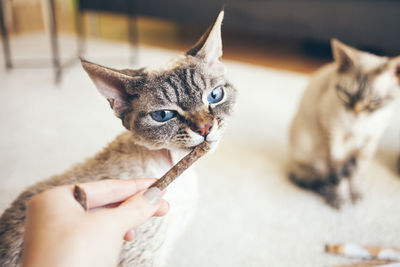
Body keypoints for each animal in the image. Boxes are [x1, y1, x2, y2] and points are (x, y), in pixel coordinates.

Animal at [290, 39, 400, 210]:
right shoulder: (334, 141)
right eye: (347, 95)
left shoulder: (369, 143)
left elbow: (357, 174)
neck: (360, 125)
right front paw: (340, 199)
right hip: (307, 146)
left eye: (375, 100)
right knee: (312, 173)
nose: (356, 111)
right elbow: (337, 177)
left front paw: (356, 194)